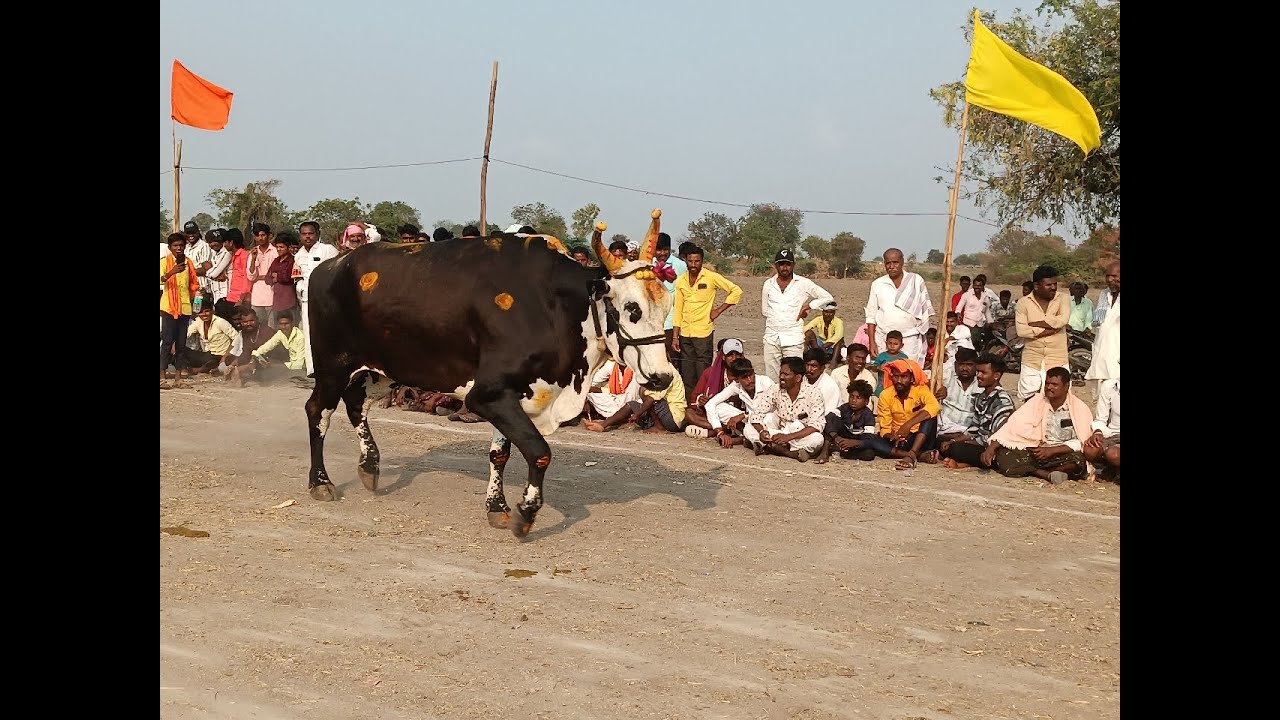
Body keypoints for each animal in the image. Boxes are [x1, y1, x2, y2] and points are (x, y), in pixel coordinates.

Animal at [303, 210, 677, 539]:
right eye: (631, 308)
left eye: (667, 307)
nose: (663, 376)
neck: (556, 306)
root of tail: (331, 265)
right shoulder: (487, 394)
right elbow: (539, 451)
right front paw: (525, 513)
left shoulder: (512, 396)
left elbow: (501, 453)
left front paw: (498, 507)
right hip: (332, 367)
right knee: (318, 412)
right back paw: (321, 482)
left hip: (374, 370)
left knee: (355, 407)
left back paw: (370, 467)